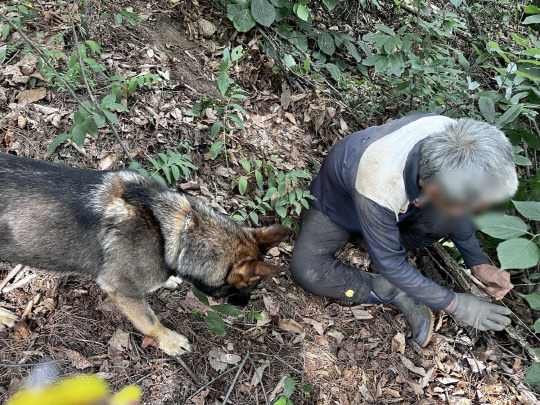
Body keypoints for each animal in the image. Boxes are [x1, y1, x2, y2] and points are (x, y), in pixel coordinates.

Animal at [0, 153, 292, 356]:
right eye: (249, 287)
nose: (245, 305)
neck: (180, 230)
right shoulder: (122, 291)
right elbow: (151, 322)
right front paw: (169, 340)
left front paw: (170, 280)